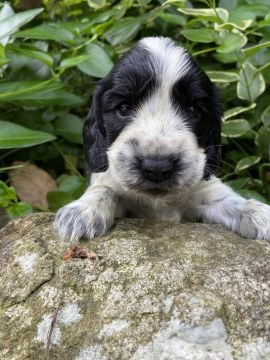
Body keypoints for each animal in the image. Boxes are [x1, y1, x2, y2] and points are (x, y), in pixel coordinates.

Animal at [54, 36, 270, 242]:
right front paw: (82, 210)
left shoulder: (204, 191)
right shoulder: (112, 181)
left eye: (193, 110)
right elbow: (104, 189)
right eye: (123, 108)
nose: (157, 168)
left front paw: (261, 214)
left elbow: (230, 201)